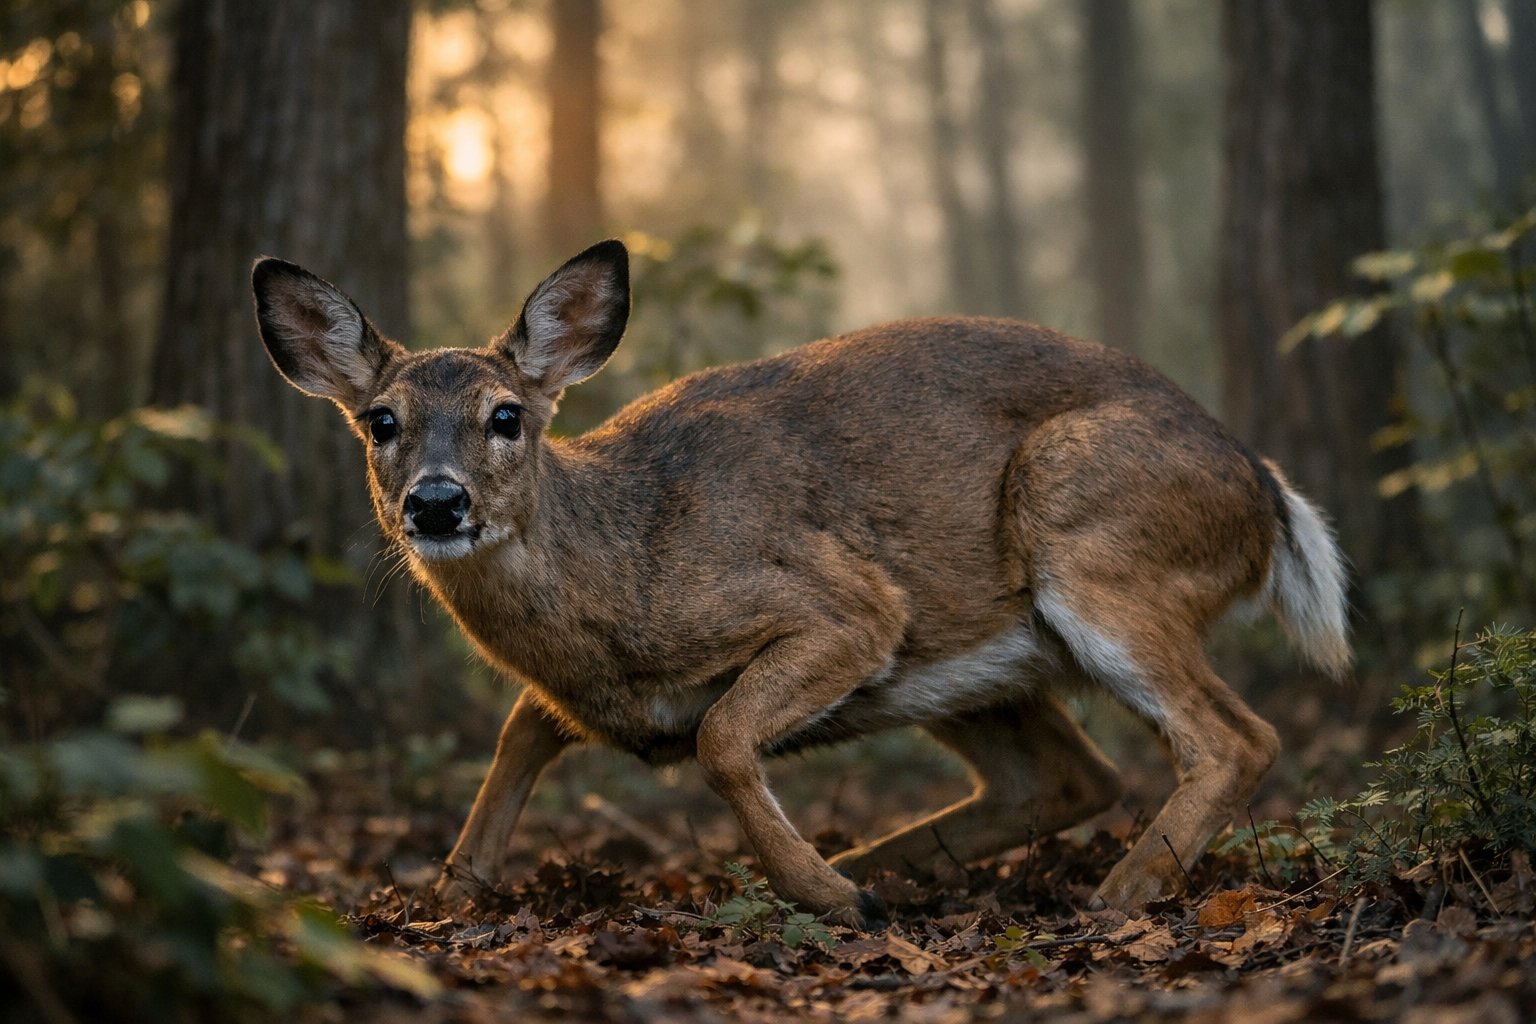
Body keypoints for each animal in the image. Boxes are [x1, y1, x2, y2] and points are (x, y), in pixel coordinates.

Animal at [252, 239, 1349, 927]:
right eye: (381, 420)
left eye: (506, 415)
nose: (437, 503)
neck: (623, 567)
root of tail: (1262, 487)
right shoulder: (590, 694)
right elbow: (521, 728)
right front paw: (448, 895)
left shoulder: (848, 605)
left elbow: (720, 734)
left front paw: (827, 899)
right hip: (975, 663)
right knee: (1072, 774)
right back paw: (893, 870)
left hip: (1088, 542)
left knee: (1235, 735)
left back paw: (1113, 897)